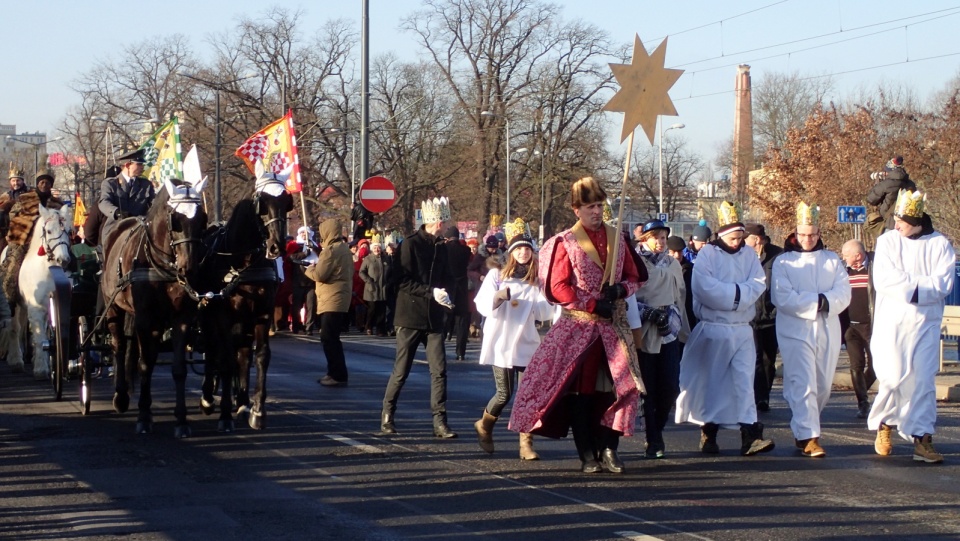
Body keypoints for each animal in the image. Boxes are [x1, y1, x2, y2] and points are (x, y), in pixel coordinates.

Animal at [0, 205, 72, 378]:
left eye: (68, 230)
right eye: (49, 231)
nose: (63, 260)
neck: (48, 271)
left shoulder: (52, 307)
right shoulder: (36, 308)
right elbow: (39, 337)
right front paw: (41, 369)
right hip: (15, 305)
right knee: (15, 328)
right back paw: (16, 360)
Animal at [99, 179, 208, 436]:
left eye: (202, 219)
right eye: (175, 219)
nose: (189, 268)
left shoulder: (181, 318)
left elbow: (178, 368)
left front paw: (181, 420)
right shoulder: (144, 318)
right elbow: (145, 364)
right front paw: (144, 416)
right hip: (113, 309)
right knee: (119, 346)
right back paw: (121, 396)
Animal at [200, 177, 290, 430]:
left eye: (286, 202)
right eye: (263, 203)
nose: (277, 246)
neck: (243, 262)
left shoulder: (262, 314)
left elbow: (260, 356)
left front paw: (257, 410)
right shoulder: (223, 315)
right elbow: (226, 359)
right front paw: (224, 414)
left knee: (242, 354)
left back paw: (241, 403)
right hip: (209, 316)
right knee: (213, 348)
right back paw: (208, 398)